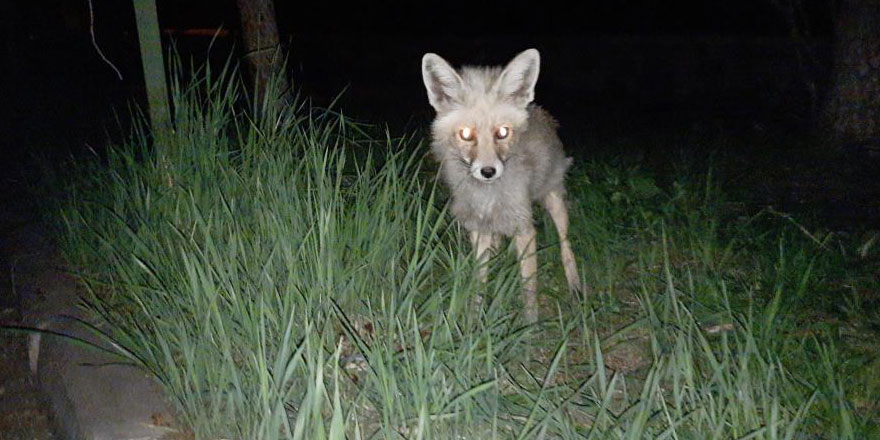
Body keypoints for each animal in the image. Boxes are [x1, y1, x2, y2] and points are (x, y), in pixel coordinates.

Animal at [422, 49, 580, 324]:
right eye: (466, 134)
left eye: (503, 132)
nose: (488, 172)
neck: (488, 197)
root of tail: (539, 111)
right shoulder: (478, 228)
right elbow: (478, 284)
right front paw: (474, 322)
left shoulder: (524, 229)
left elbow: (529, 288)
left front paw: (530, 327)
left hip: (554, 200)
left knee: (565, 245)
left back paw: (576, 287)